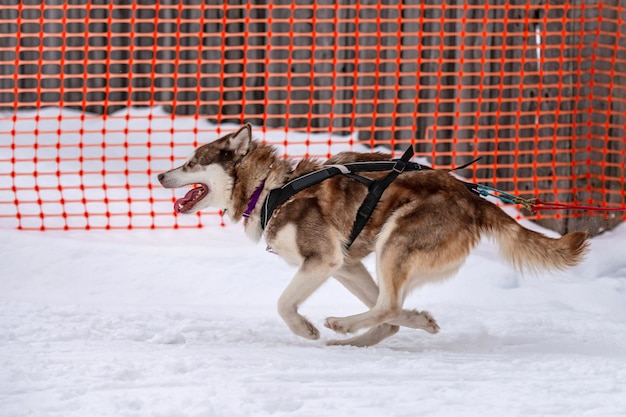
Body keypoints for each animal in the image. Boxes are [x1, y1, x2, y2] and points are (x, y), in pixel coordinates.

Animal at [158, 123, 588, 344]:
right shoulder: (344, 265)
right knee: (391, 311)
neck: (270, 188)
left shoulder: (322, 260)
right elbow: (391, 310)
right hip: (384, 255)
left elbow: (283, 304)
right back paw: (360, 338)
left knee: (387, 306)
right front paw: (420, 320)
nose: (161, 174)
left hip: (394, 243)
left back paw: (341, 327)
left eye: (191, 162)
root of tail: (472, 196)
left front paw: (304, 328)